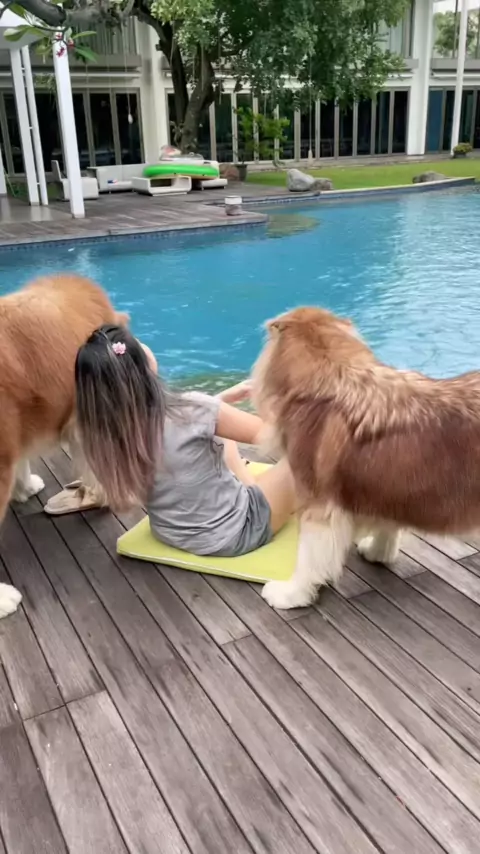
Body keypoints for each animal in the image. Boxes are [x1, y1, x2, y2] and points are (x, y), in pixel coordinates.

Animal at [251, 306, 480, 609]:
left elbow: (307, 557)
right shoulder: (390, 487)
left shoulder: (318, 505)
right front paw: (377, 551)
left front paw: (291, 595)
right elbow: (388, 525)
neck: (335, 377)